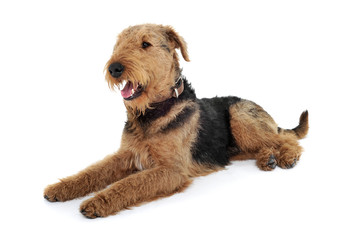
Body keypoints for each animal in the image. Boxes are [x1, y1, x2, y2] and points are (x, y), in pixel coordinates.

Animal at [44, 23, 310, 218]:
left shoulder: (171, 170)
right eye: (118, 45)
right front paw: (60, 188)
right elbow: (91, 172)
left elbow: (129, 184)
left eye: (145, 44)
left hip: (241, 118)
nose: (114, 68)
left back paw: (287, 157)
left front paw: (97, 202)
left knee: (286, 139)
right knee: (265, 144)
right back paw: (268, 159)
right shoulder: (127, 154)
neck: (152, 113)